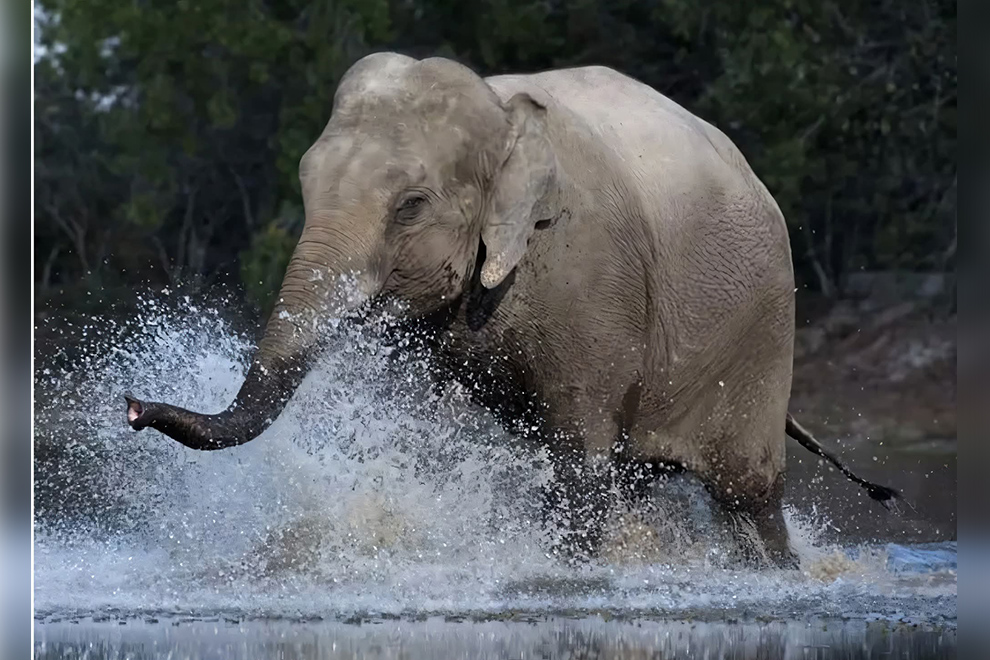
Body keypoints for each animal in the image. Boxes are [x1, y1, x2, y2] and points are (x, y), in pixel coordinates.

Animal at [124, 52, 900, 567]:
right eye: (306, 184)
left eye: (411, 205)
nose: (131, 407)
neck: (503, 117)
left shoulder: (596, 279)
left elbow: (576, 458)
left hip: (762, 329)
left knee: (747, 496)